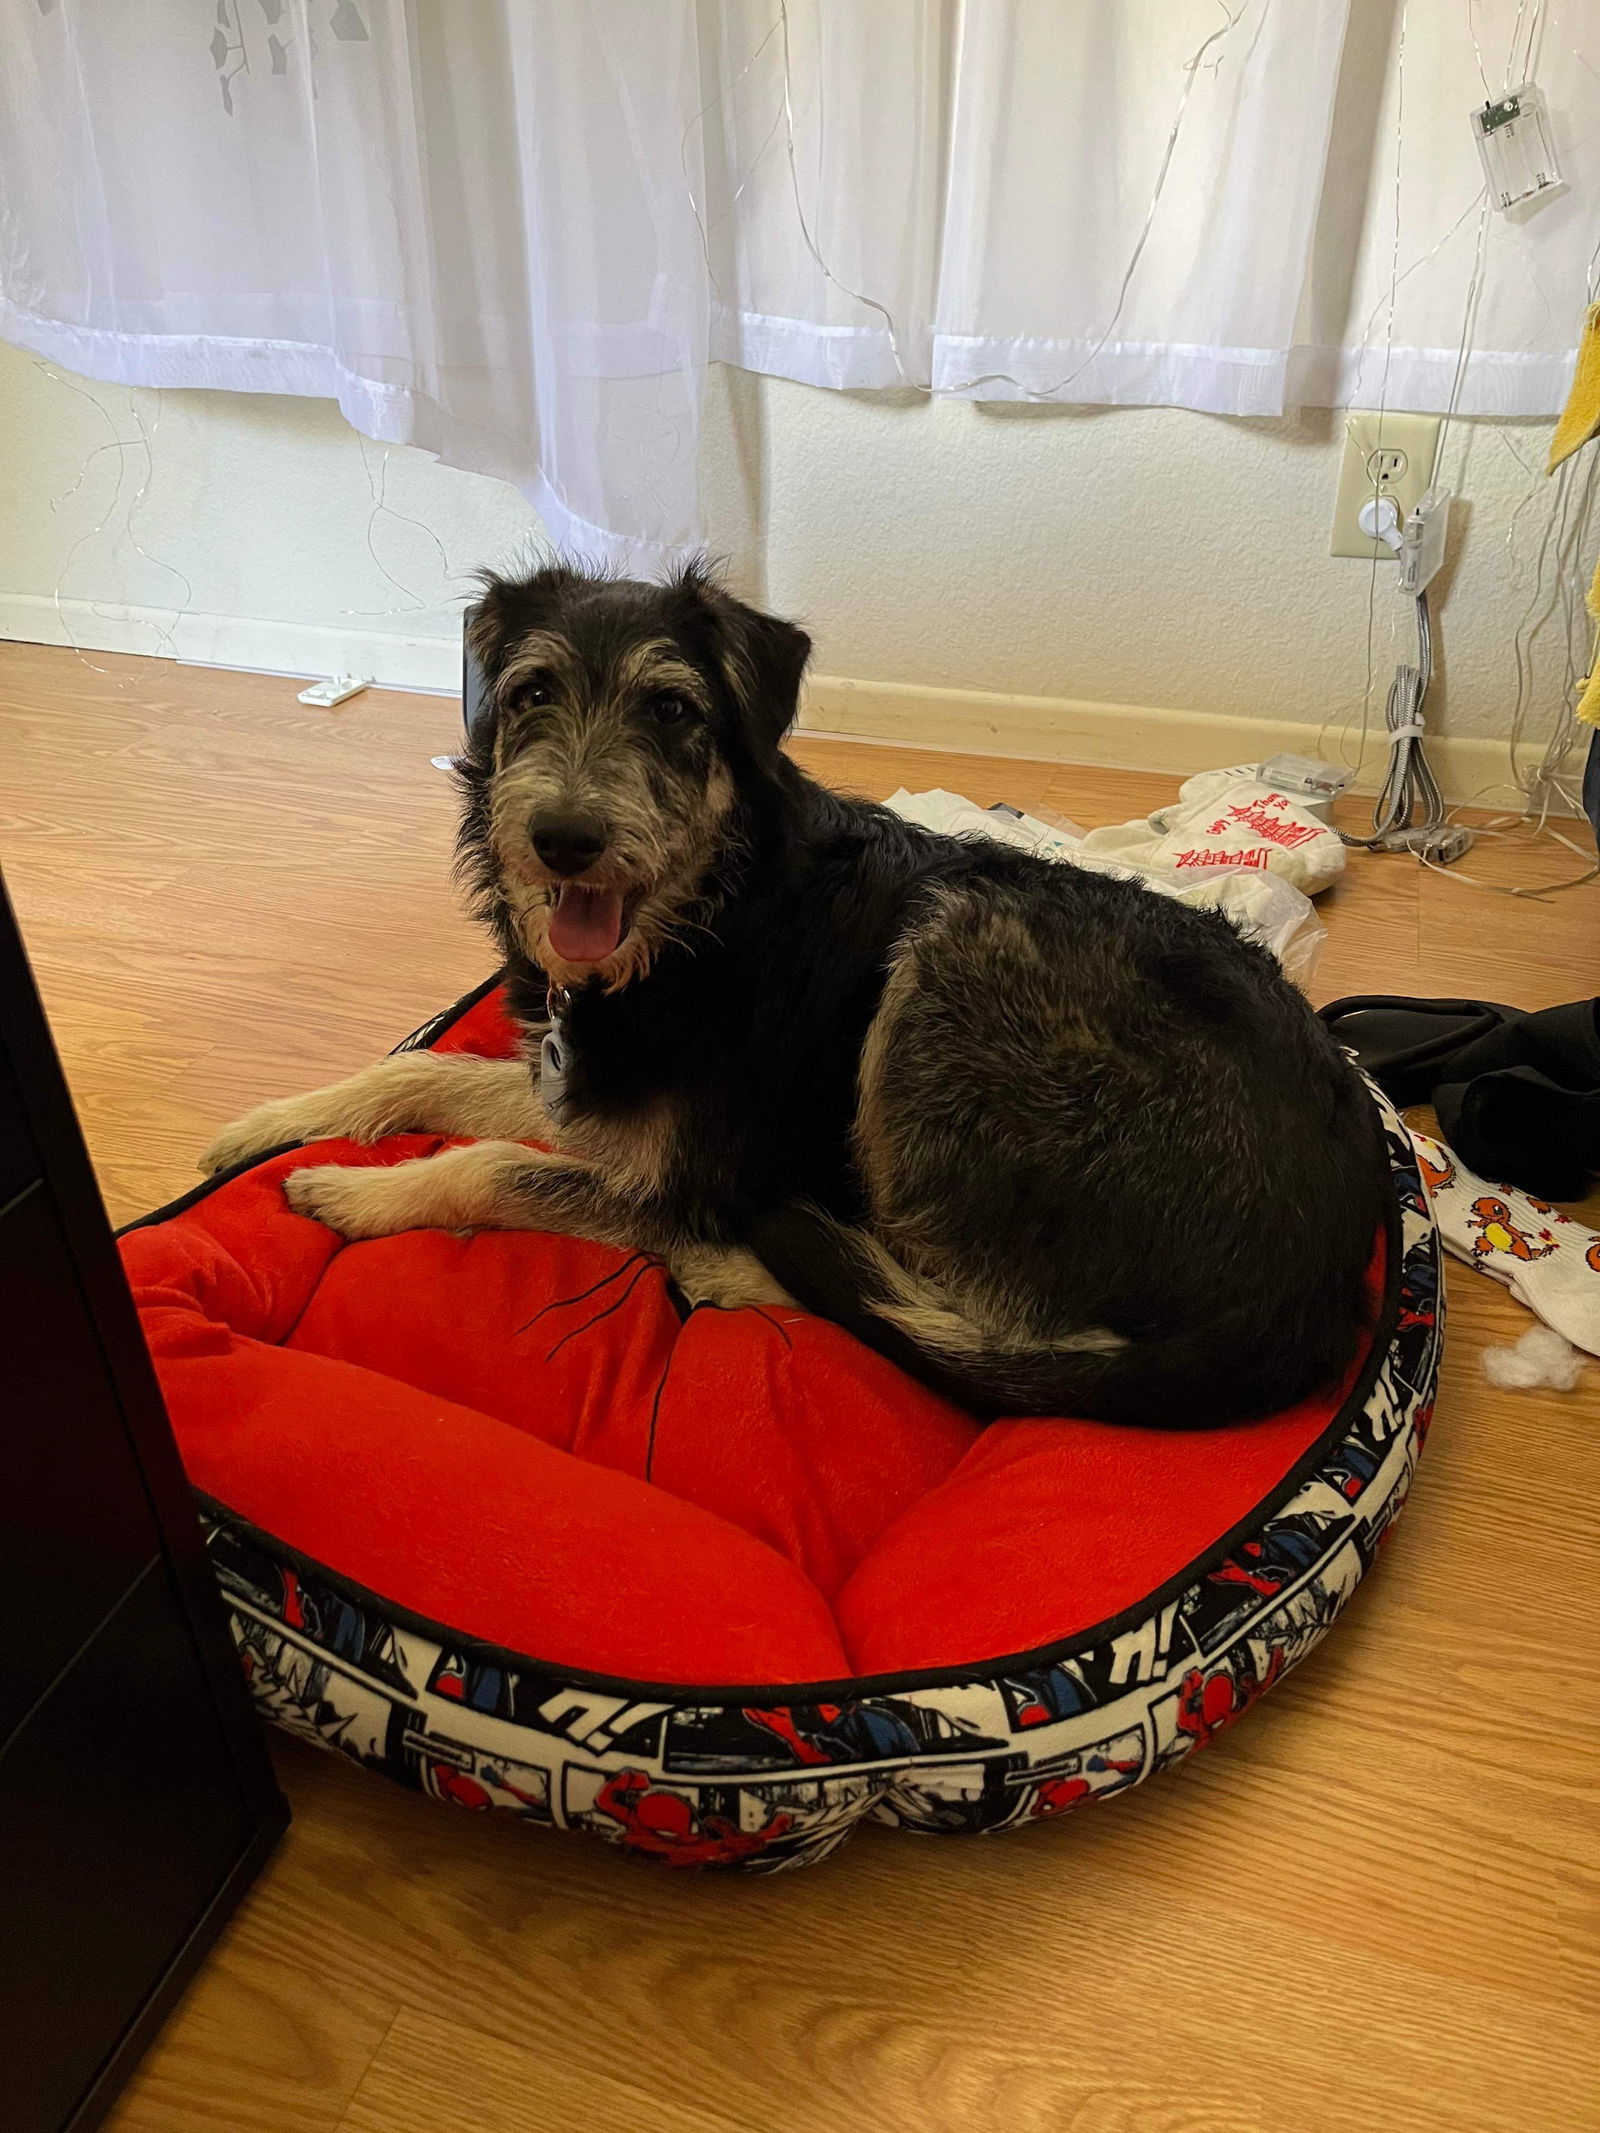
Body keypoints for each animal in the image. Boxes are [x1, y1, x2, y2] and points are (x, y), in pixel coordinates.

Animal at [203, 558, 1390, 1424]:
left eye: (672, 708)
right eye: (532, 692)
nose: (564, 839)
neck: (705, 921)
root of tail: (1312, 1293)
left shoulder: (687, 1174)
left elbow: (491, 1165)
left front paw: (356, 1195)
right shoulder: (582, 1094)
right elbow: (419, 1074)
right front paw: (272, 1124)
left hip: (954, 961)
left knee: (959, 1317)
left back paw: (738, 1272)